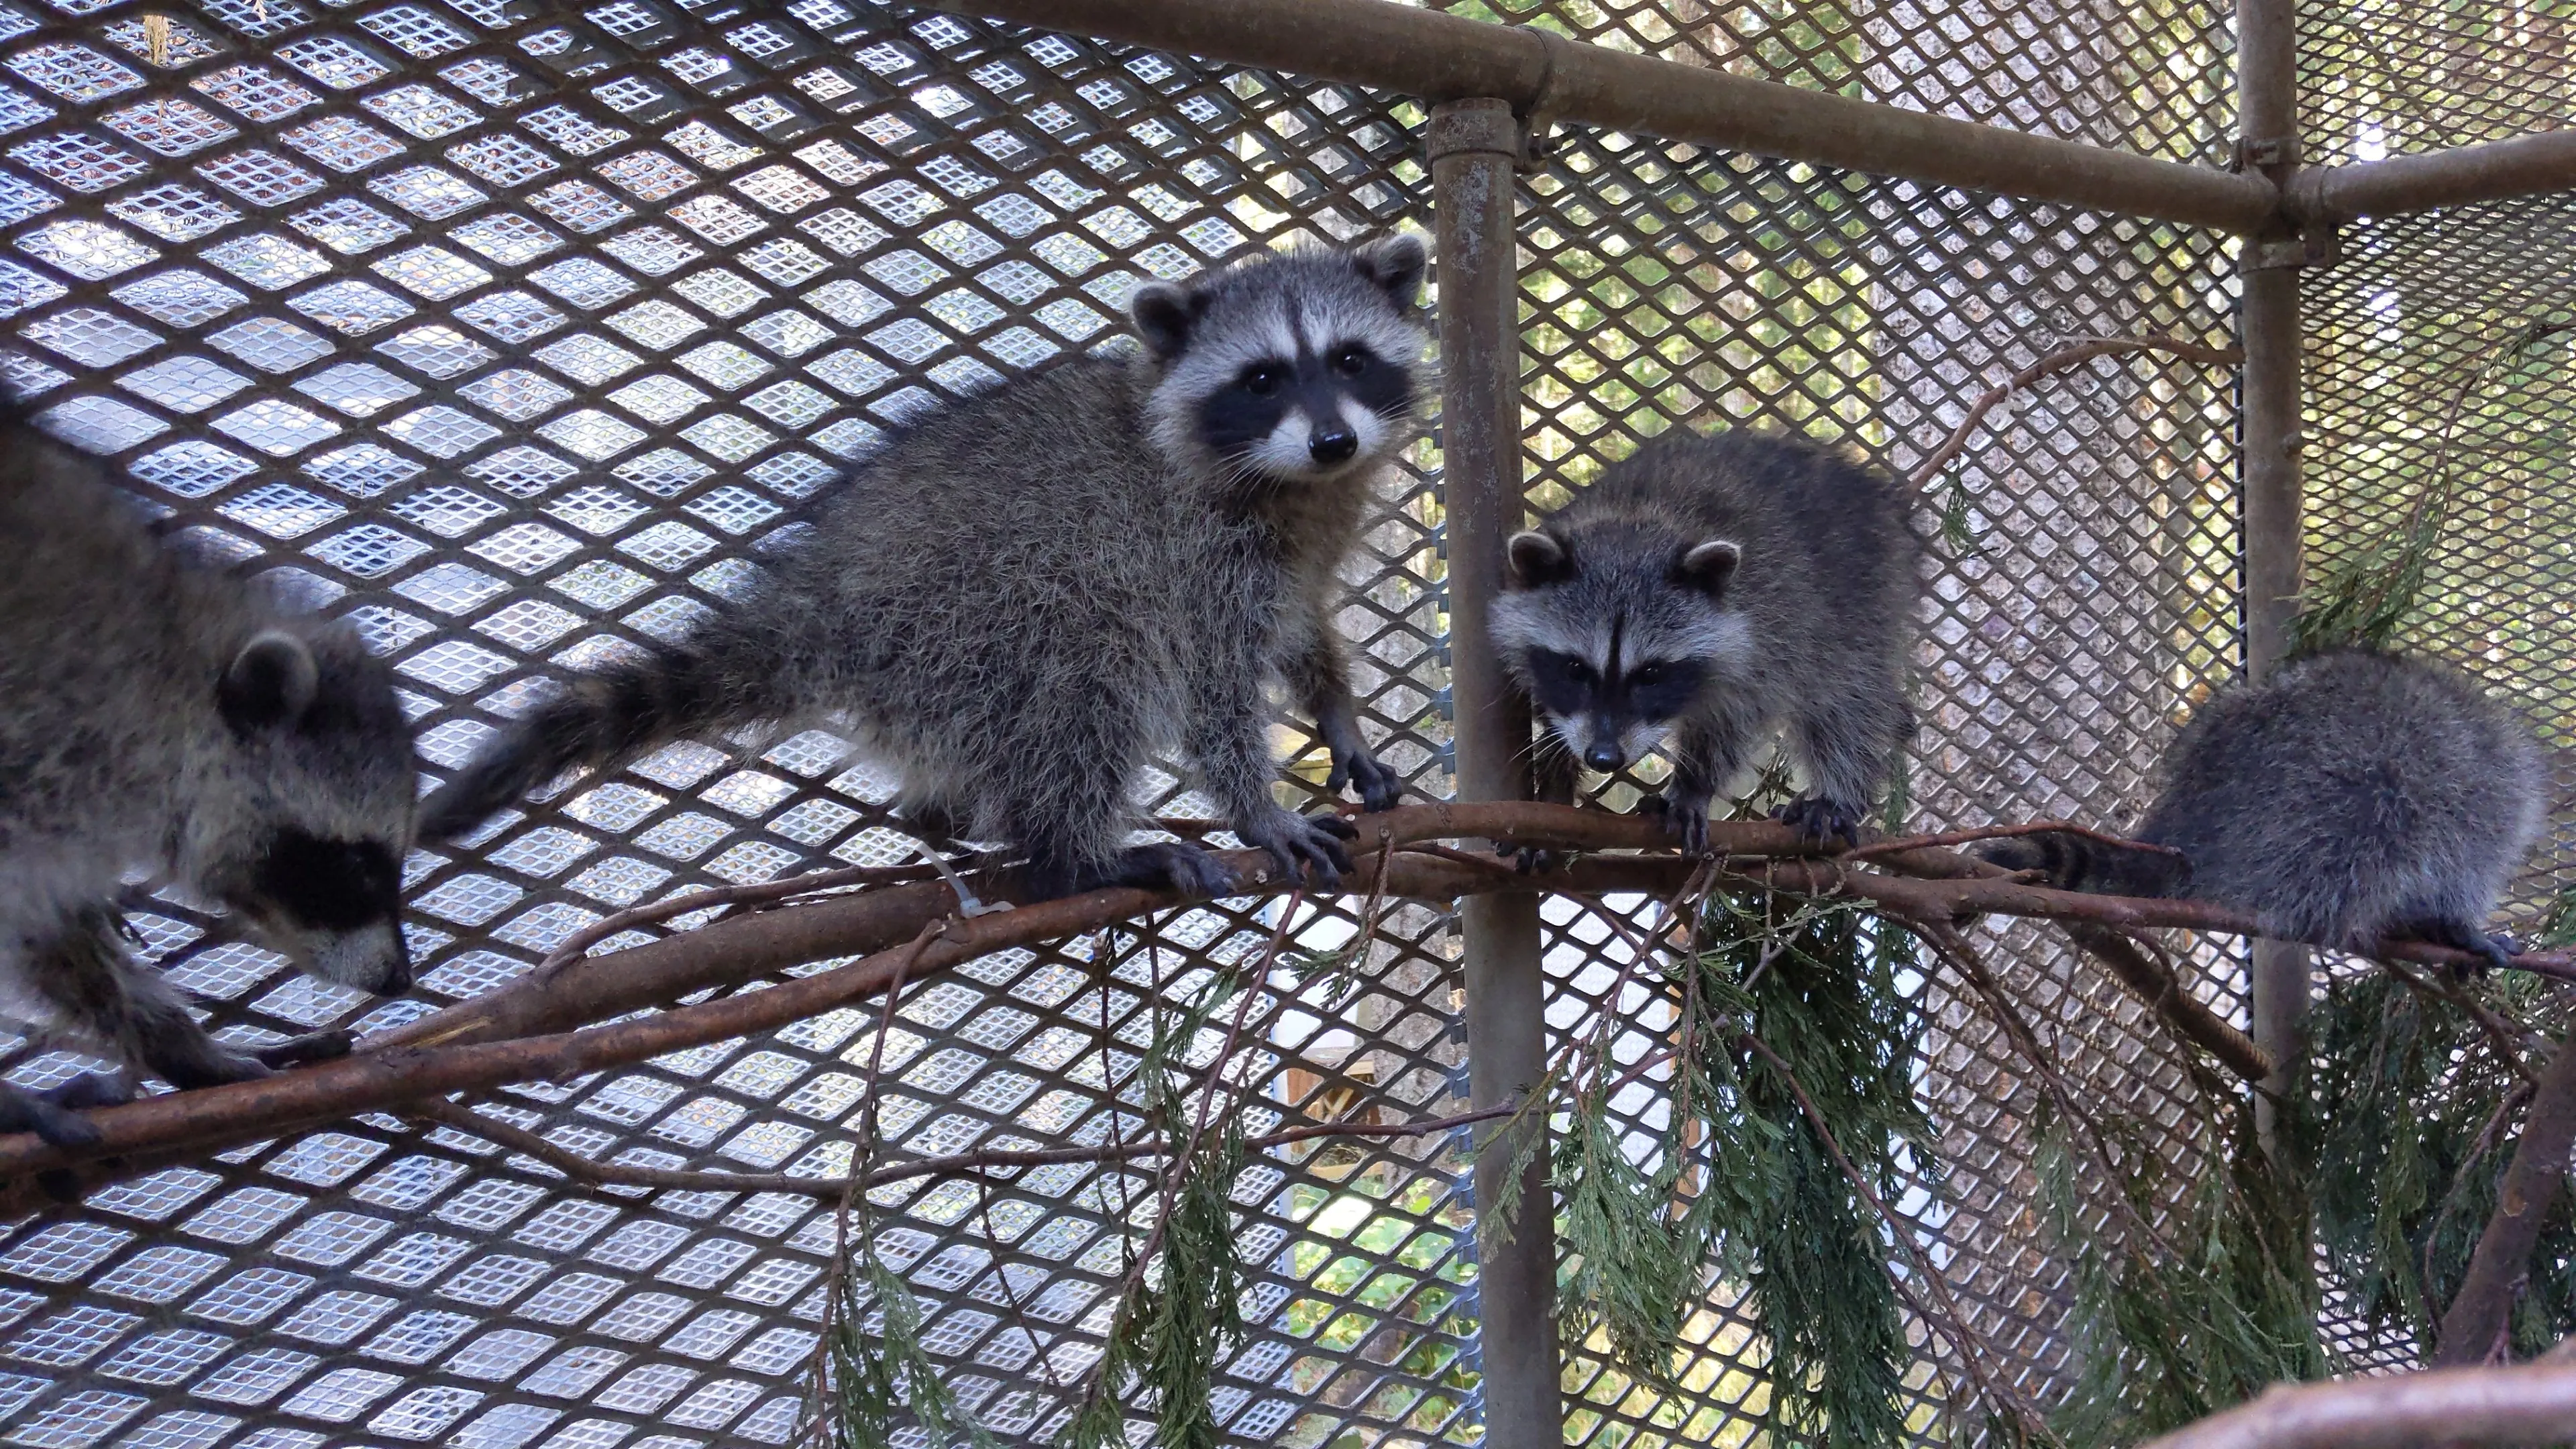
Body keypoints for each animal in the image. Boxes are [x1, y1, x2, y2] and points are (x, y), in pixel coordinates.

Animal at [422, 234, 1432, 902]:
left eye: (1349, 360)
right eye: (1262, 380)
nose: (1334, 440)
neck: (1291, 486)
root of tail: (822, 592)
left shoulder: (1306, 539)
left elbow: (1305, 627)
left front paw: (1340, 716)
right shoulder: (1194, 554)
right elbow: (1212, 685)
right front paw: (1255, 805)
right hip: (972, 615)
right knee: (1089, 673)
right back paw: (1072, 856)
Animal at [1494, 423, 1916, 851]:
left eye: (1651, 674)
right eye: (1575, 669)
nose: (1604, 758)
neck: (1635, 525)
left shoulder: (1766, 632)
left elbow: (1732, 721)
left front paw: (1693, 784)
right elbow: (1556, 719)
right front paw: (1553, 788)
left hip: (1860, 599)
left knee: (1849, 701)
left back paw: (1839, 792)